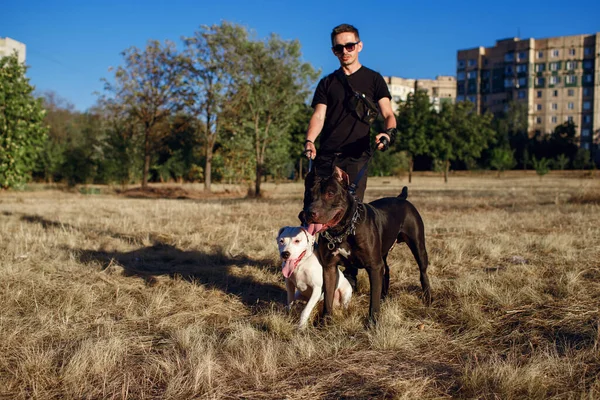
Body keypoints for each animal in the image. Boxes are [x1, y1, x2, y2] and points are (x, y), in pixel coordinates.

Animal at [304, 167, 432, 324]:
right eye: (309, 194)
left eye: (330, 193)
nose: (310, 212)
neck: (343, 231)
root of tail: (401, 198)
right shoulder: (329, 268)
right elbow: (328, 297)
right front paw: (325, 322)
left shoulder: (374, 266)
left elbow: (373, 300)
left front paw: (372, 323)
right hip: (383, 253)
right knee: (387, 270)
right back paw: (384, 297)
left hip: (418, 246)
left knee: (423, 272)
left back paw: (427, 298)